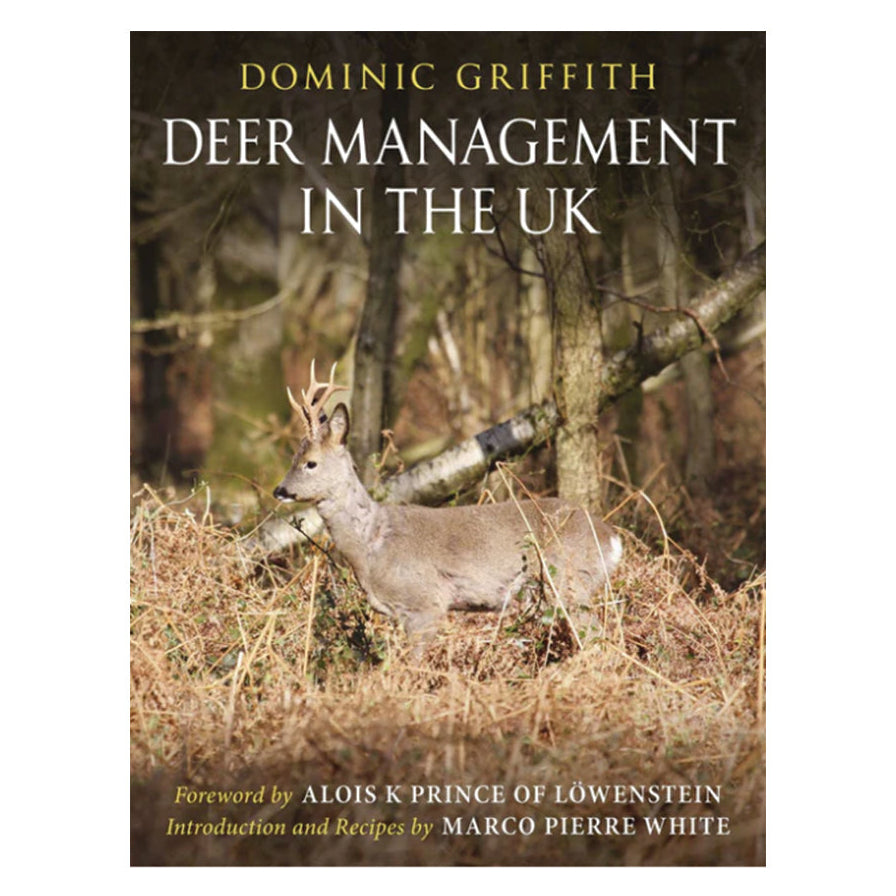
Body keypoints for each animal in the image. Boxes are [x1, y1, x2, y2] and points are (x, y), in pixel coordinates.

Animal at [273, 361, 623, 651]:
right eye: (293, 458)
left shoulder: (426, 602)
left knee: (597, 641)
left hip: (570, 580)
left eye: (310, 463)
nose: (280, 490)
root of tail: (612, 538)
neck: (372, 545)